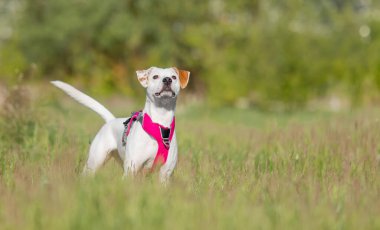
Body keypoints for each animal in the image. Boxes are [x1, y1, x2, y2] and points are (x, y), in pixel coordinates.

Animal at [51, 67, 190, 183]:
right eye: (155, 76)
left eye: (174, 77)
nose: (167, 80)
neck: (160, 124)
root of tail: (110, 120)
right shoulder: (132, 169)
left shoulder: (165, 173)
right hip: (95, 161)